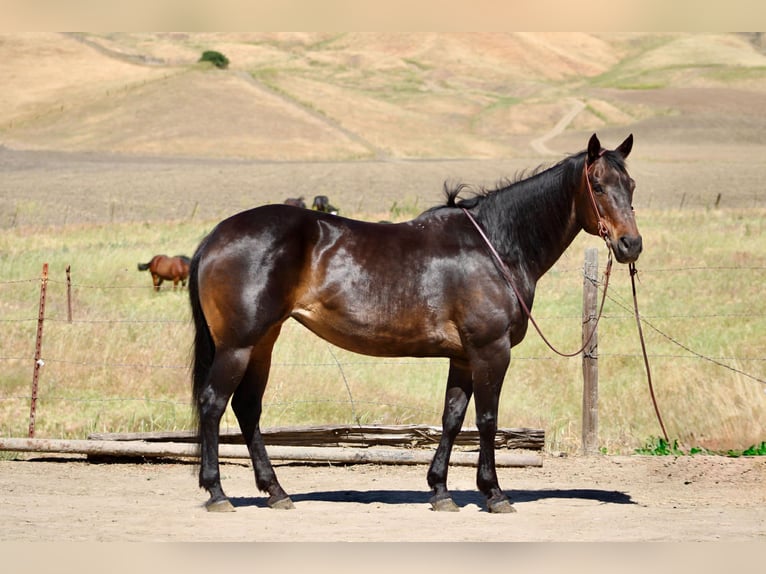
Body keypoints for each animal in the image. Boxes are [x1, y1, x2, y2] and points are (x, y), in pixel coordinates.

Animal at [188, 133, 641, 513]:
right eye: (598, 186)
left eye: (632, 186)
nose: (630, 245)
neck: (495, 246)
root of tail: (216, 235)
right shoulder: (490, 351)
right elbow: (487, 419)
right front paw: (493, 493)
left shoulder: (463, 357)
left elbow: (452, 418)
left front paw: (440, 491)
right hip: (238, 345)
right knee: (213, 404)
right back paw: (217, 493)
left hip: (262, 343)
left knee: (247, 408)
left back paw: (276, 491)